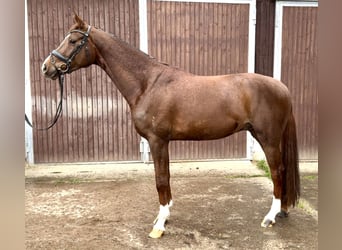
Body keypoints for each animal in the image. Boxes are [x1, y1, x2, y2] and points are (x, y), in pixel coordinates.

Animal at [41, 14, 300, 238]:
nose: (46, 67)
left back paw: (270, 217)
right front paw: (163, 217)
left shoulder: (157, 140)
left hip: (267, 139)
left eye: (73, 41)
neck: (148, 83)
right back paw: (282, 211)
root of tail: (282, 87)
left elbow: (161, 180)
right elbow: (165, 178)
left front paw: (159, 225)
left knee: (278, 171)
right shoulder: (161, 142)